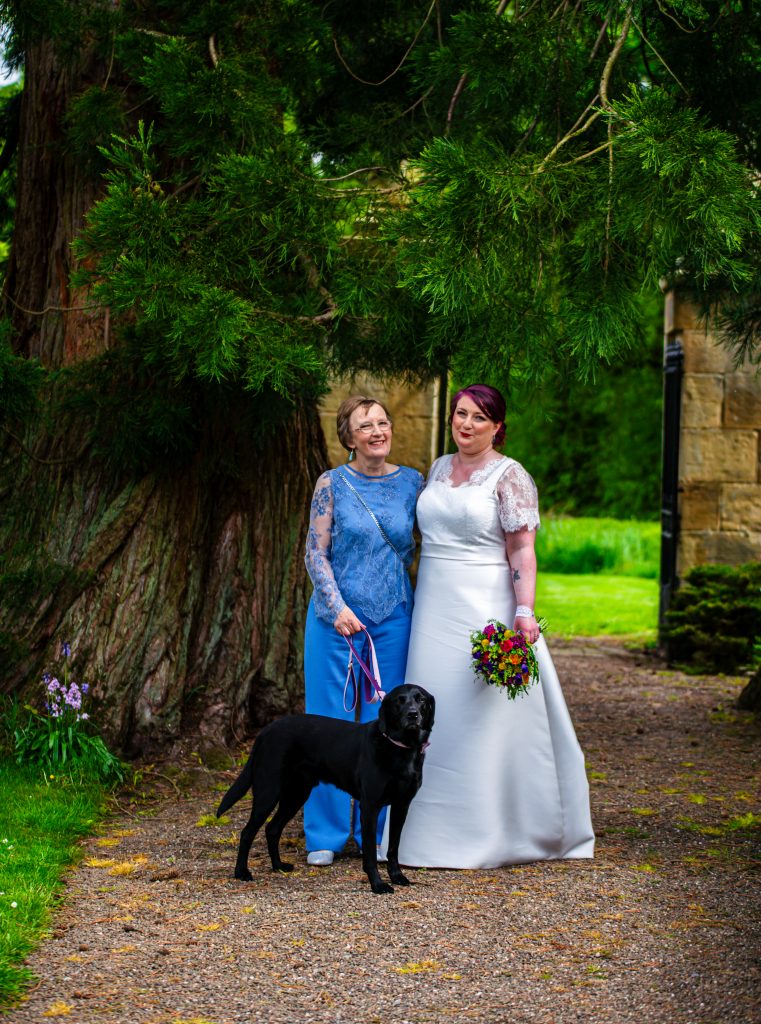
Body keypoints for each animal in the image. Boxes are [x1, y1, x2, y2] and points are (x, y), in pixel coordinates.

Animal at [214, 684, 434, 892]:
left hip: (296, 794)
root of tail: (265, 731)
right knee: (247, 832)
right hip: (268, 792)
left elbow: (393, 848)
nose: (413, 714)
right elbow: (370, 853)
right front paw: (378, 885)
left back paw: (278, 866)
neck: (400, 747)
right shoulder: (370, 807)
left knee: (272, 828)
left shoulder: (401, 806)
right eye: (399, 700)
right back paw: (241, 872)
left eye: (421, 699)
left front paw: (397, 876)